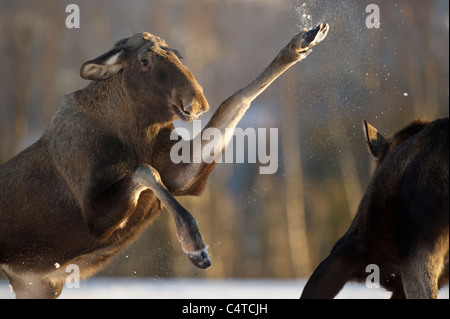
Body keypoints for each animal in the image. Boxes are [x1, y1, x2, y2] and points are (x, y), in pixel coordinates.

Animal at [0, 23, 330, 298]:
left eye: (177, 54)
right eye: (144, 61)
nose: (197, 102)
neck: (136, 133)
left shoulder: (181, 174)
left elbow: (236, 99)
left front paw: (301, 43)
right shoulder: (93, 215)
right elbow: (146, 170)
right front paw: (195, 245)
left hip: (36, 286)